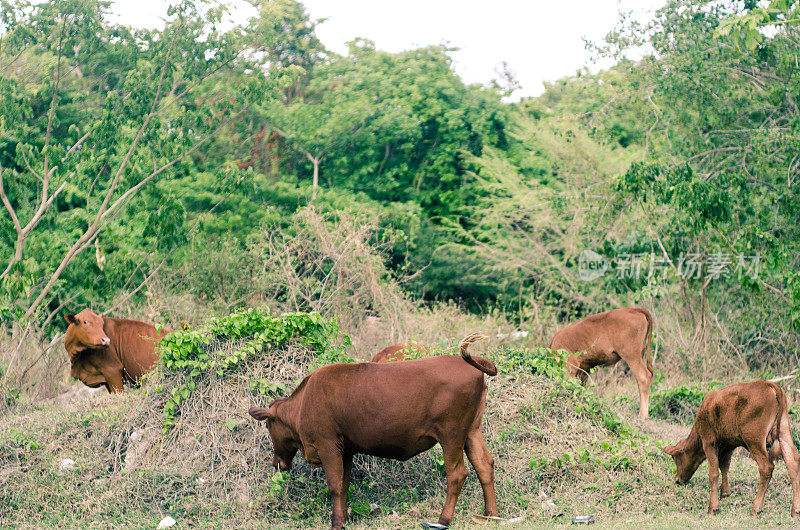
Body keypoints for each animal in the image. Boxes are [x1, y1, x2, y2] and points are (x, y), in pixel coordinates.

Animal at [250, 332, 500, 524]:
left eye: (269, 425)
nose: (276, 463)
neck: (304, 403)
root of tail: (467, 363)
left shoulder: (327, 444)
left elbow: (334, 486)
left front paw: (336, 523)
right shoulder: (345, 449)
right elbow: (344, 484)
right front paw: (344, 519)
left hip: (452, 434)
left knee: (457, 474)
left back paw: (443, 520)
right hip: (472, 430)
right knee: (484, 465)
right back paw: (491, 514)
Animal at [664, 380, 800, 516]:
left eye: (675, 458)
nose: (677, 480)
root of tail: (769, 384)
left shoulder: (708, 441)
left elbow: (713, 473)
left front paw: (713, 507)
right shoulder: (728, 445)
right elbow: (724, 467)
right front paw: (725, 492)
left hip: (754, 439)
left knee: (766, 467)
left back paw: (756, 508)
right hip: (784, 431)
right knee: (793, 463)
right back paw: (795, 510)